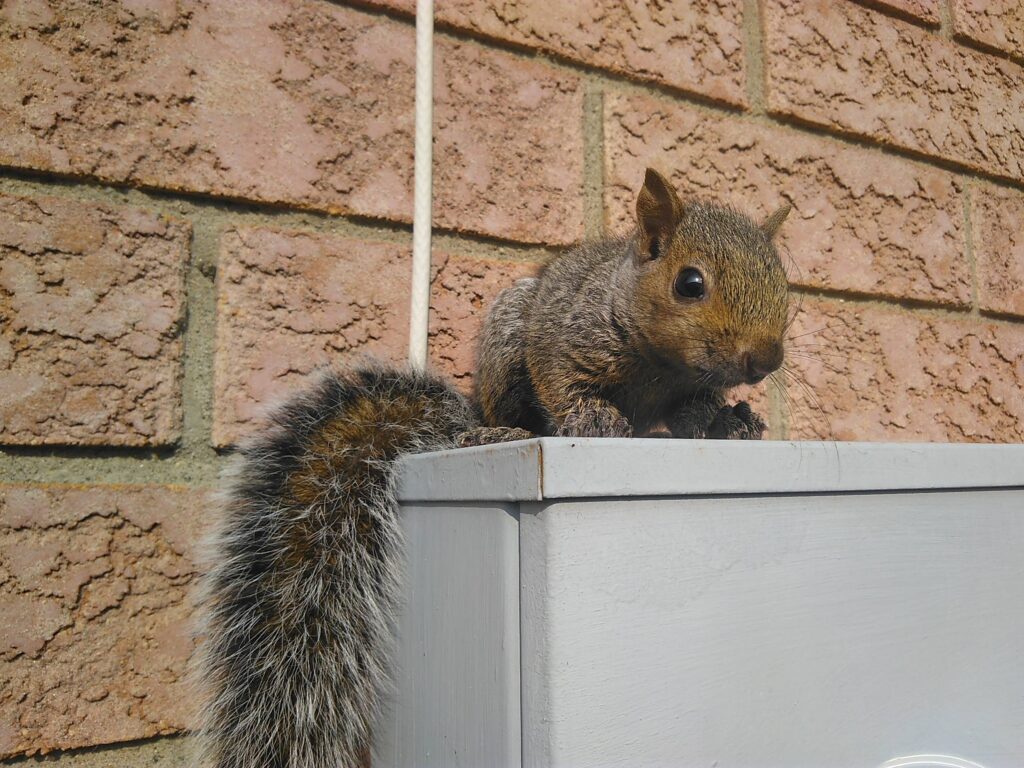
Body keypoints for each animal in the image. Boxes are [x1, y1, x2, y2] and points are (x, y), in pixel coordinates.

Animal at [192, 169, 790, 768]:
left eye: (785, 281)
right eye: (690, 283)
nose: (766, 361)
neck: (662, 366)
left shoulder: (689, 390)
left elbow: (697, 411)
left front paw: (732, 419)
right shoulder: (564, 336)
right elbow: (560, 381)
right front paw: (594, 416)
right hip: (505, 348)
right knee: (506, 412)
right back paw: (493, 434)